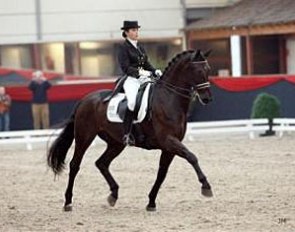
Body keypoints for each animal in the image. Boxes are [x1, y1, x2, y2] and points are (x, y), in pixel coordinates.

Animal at [48, 49, 215, 212]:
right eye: (197, 70)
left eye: (208, 70)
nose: (207, 99)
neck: (168, 98)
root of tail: (84, 100)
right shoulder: (169, 140)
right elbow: (192, 157)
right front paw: (206, 186)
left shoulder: (170, 147)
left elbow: (162, 173)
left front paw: (151, 202)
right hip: (84, 137)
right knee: (75, 165)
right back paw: (68, 202)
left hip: (116, 143)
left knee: (101, 163)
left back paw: (113, 195)